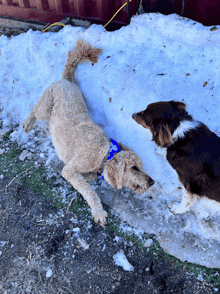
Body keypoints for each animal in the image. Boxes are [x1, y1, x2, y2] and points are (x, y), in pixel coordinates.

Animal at [23, 39, 155, 226]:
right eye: (134, 168)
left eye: (142, 167)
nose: (152, 182)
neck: (104, 153)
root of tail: (66, 81)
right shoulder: (70, 170)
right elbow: (89, 192)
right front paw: (99, 212)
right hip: (46, 106)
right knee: (35, 109)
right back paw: (27, 124)